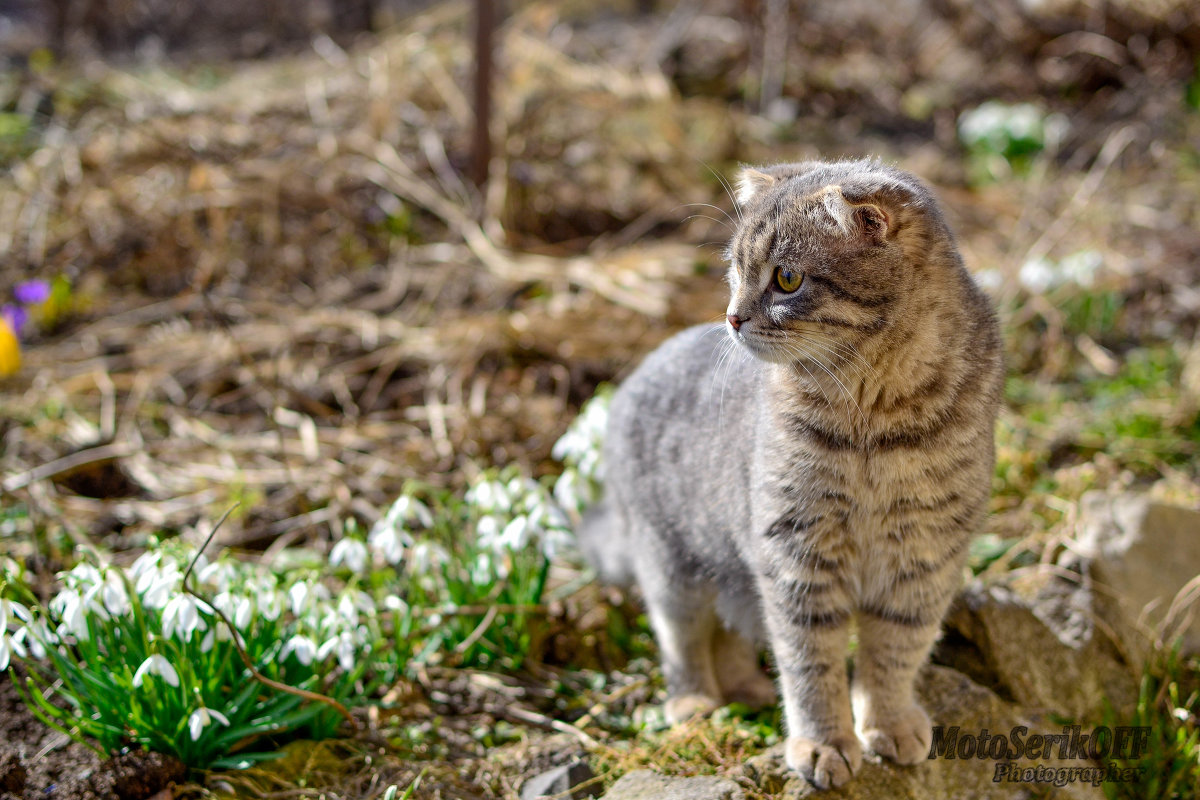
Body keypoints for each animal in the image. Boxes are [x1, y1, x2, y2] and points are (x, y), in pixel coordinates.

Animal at [578, 158, 1003, 786]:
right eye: (735, 269)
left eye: (786, 279)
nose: (732, 317)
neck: (873, 416)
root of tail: (630, 377)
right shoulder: (797, 551)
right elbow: (811, 664)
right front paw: (823, 743)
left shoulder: (924, 555)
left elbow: (895, 653)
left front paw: (890, 722)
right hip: (670, 567)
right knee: (683, 642)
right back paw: (693, 703)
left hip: (730, 572)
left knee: (730, 634)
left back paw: (747, 689)